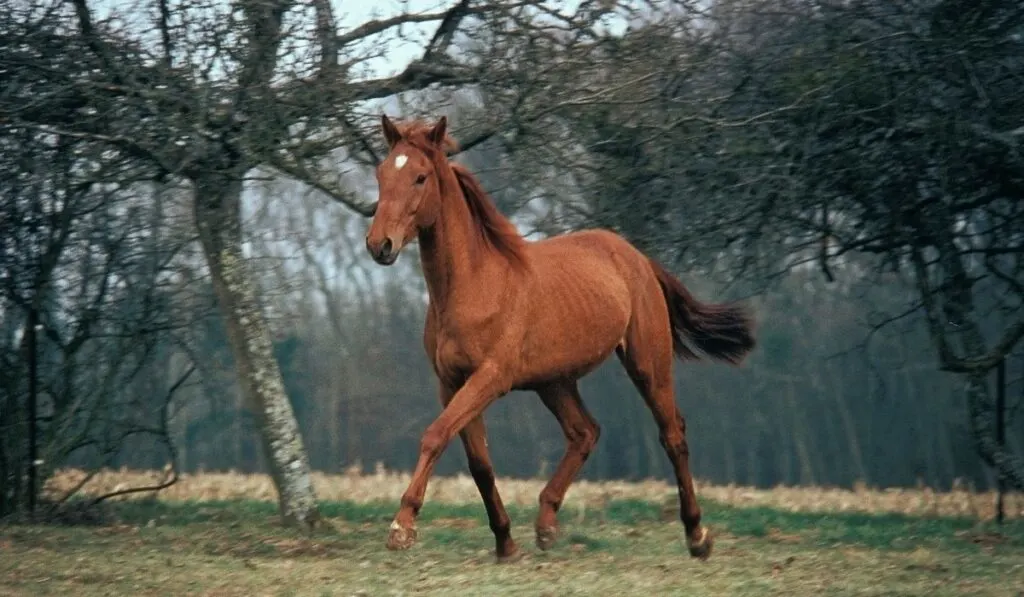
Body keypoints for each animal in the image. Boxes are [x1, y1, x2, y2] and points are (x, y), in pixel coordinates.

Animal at [364, 114, 757, 561]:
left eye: (420, 176)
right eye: (381, 173)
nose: (379, 245)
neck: (474, 285)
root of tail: (637, 257)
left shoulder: (491, 378)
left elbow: (434, 436)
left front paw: (402, 528)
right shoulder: (451, 383)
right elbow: (478, 462)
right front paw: (505, 542)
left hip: (646, 364)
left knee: (672, 434)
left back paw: (697, 536)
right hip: (553, 381)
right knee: (585, 432)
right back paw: (546, 525)